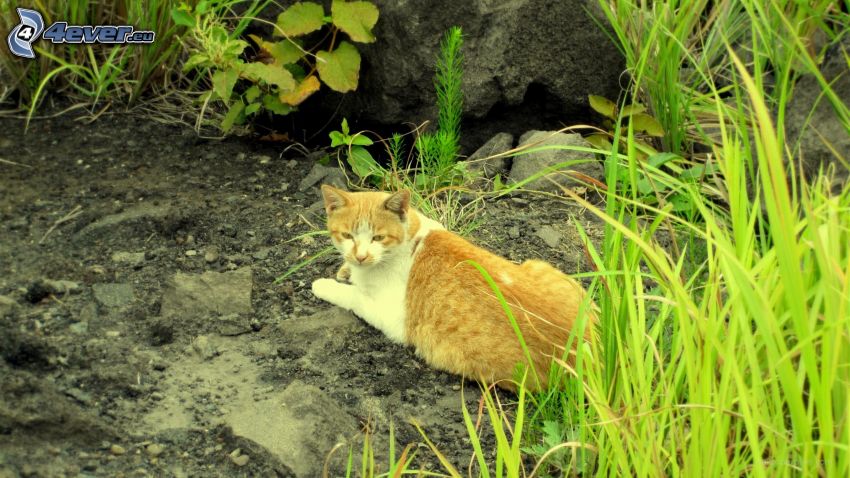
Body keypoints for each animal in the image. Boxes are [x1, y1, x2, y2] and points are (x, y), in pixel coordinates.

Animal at [308, 185, 592, 390]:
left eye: (378, 237)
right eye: (347, 236)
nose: (361, 256)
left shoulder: (392, 319)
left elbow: (353, 295)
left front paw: (326, 284)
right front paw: (346, 268)